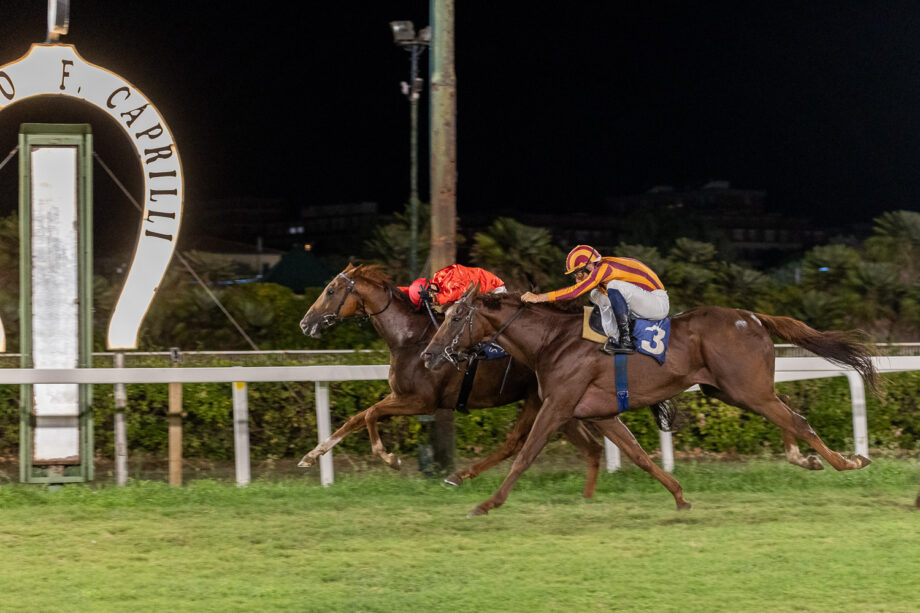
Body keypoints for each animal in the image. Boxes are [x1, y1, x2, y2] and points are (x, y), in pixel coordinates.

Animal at [298, 262, 688, 506]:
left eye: (330, 290)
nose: (305, 323)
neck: (410, 338)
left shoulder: (420, 401)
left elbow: (368, 415)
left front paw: (389, 458)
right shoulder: (401, 396)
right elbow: (355, 418)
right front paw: (310, 456)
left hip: (543, 401)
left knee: (517, 442)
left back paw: (459, 476)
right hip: (561, 404)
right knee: (590, 448)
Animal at [420, 288, 880, 516]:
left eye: (456, 318)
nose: (427, 355)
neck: (552, 340)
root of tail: (751, 317)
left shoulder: (558, 404)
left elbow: (525, 453)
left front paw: (486, 503)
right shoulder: (600, 412)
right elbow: (638, 454)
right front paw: (679, 497)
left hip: (746, 388)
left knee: (797, 419)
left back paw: (848, 461)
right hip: (734, 390)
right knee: (787, 415)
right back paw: (807, 459)